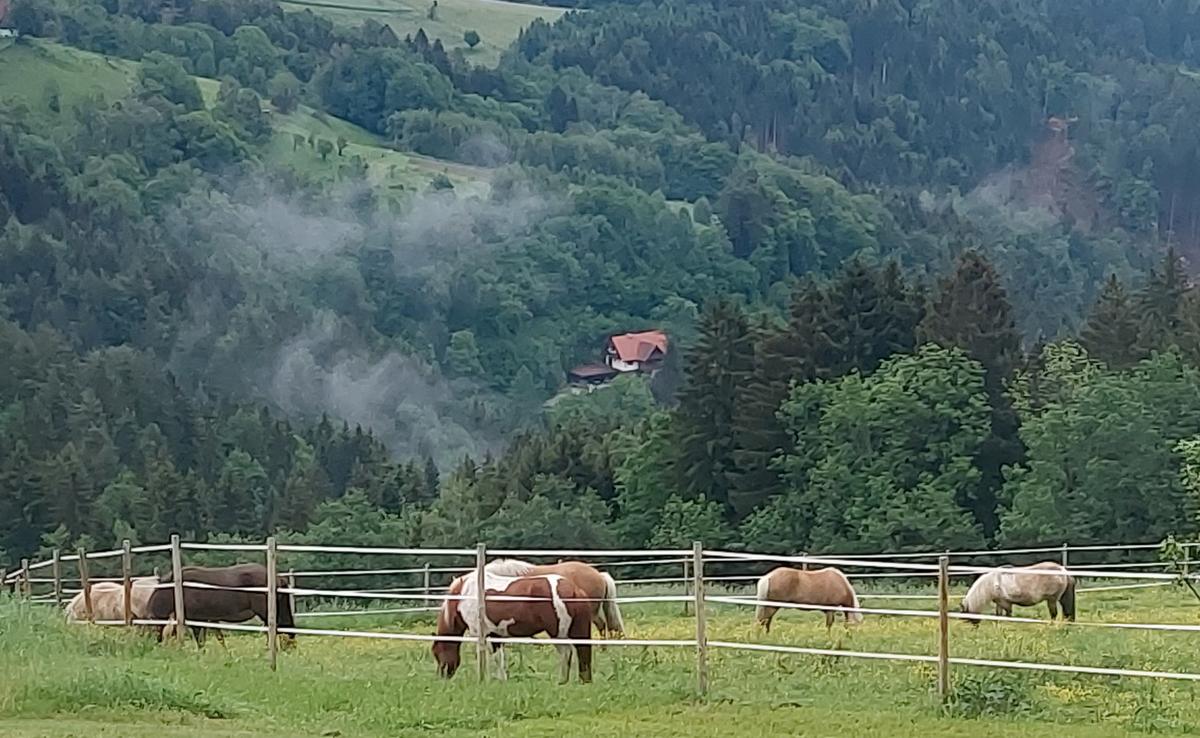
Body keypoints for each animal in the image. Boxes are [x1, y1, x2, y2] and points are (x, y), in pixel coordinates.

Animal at [145, 566, 295, 648]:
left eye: (155, 625)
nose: (157, 642)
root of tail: (277, 577)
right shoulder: (207, 620)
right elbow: (216, 638)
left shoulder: (197, 620)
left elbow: (200, 640)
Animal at [436, 571, 595, 686]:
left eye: (436, 654)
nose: (441, 678)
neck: (464, 596)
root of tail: (574, 589)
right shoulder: (496, 635)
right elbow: (500, 658)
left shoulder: (484, 634)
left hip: (558, 634)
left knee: (566, 653)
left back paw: (562, 681)